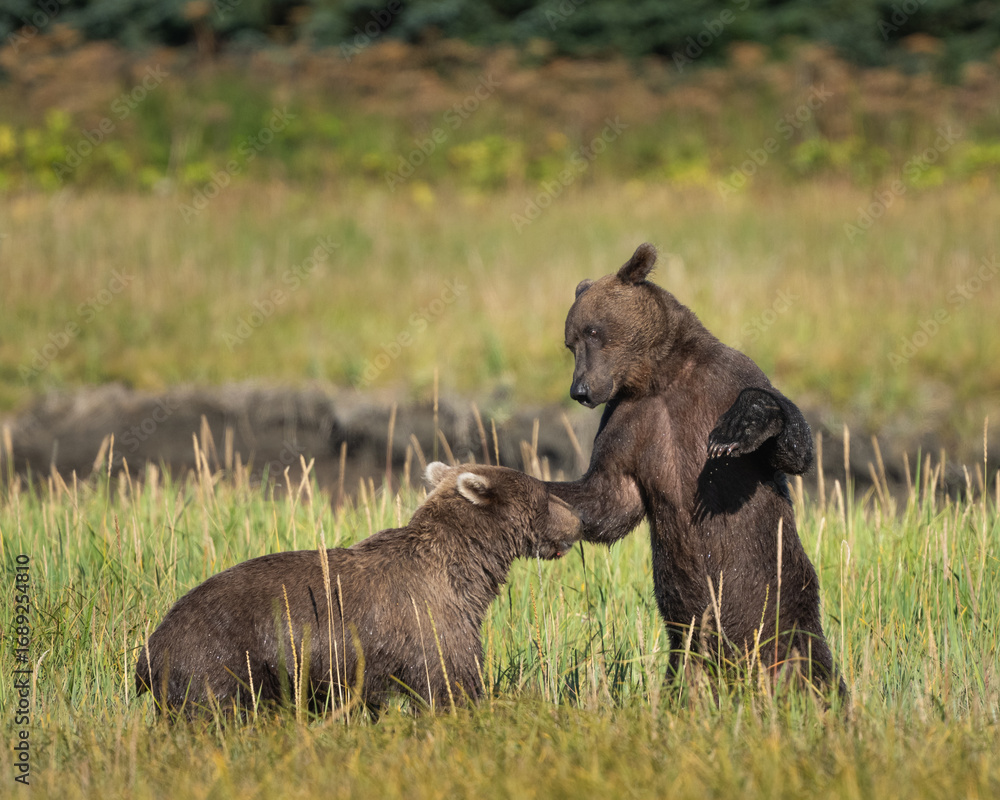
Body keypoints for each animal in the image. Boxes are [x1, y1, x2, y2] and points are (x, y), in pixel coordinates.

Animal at [135, 462, 581, 718]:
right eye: (546, 494)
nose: (577, 519)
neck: (468, 572)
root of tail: (149, 651)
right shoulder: (431, 621)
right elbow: (451, 682)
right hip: (220, 661)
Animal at [549, 242, 846, 699]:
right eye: (570, 342)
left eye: (594, 332)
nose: (579, 390)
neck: (659, 377)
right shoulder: (628, 424)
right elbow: (611, 499)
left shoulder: (724, 381)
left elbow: (793, 452)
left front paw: (744, 424)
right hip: (688, 642)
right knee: (687, 678)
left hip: (786, 610)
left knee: (812, 669)